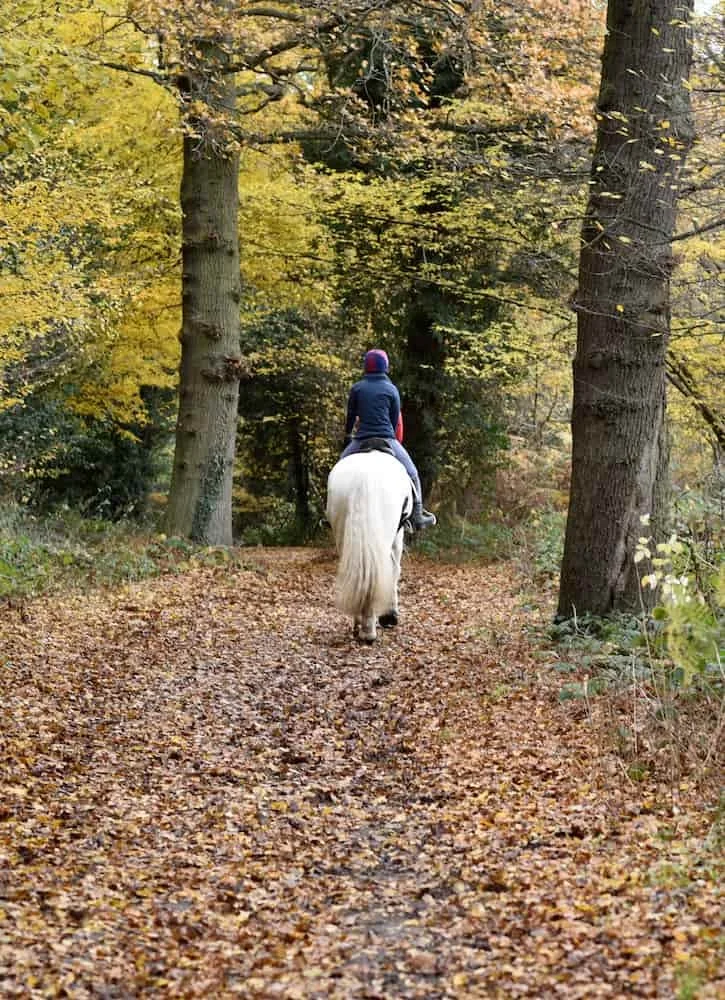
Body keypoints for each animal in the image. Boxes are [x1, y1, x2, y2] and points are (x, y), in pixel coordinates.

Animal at [326, 447, 413, 643]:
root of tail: (364, 478)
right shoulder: (398, 534)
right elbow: (395, 570)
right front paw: (390, 615)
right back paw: (368, 630)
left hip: (342, 534)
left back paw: (360, 624)